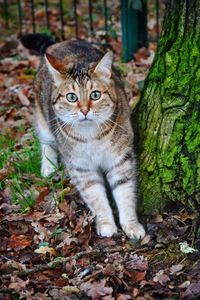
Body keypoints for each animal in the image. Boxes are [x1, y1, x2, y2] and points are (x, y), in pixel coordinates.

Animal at [21, 34, 145, 239]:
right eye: (72, 97)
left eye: (95, 95)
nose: (85, 110)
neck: (91, 137)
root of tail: (61, 42)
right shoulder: (82, 169)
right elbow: (96, 198)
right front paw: (106, 223)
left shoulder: (120, 161)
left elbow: (125, 194)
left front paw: (131, 224)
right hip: (43, 120)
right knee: (46, 142)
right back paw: (48, 166)